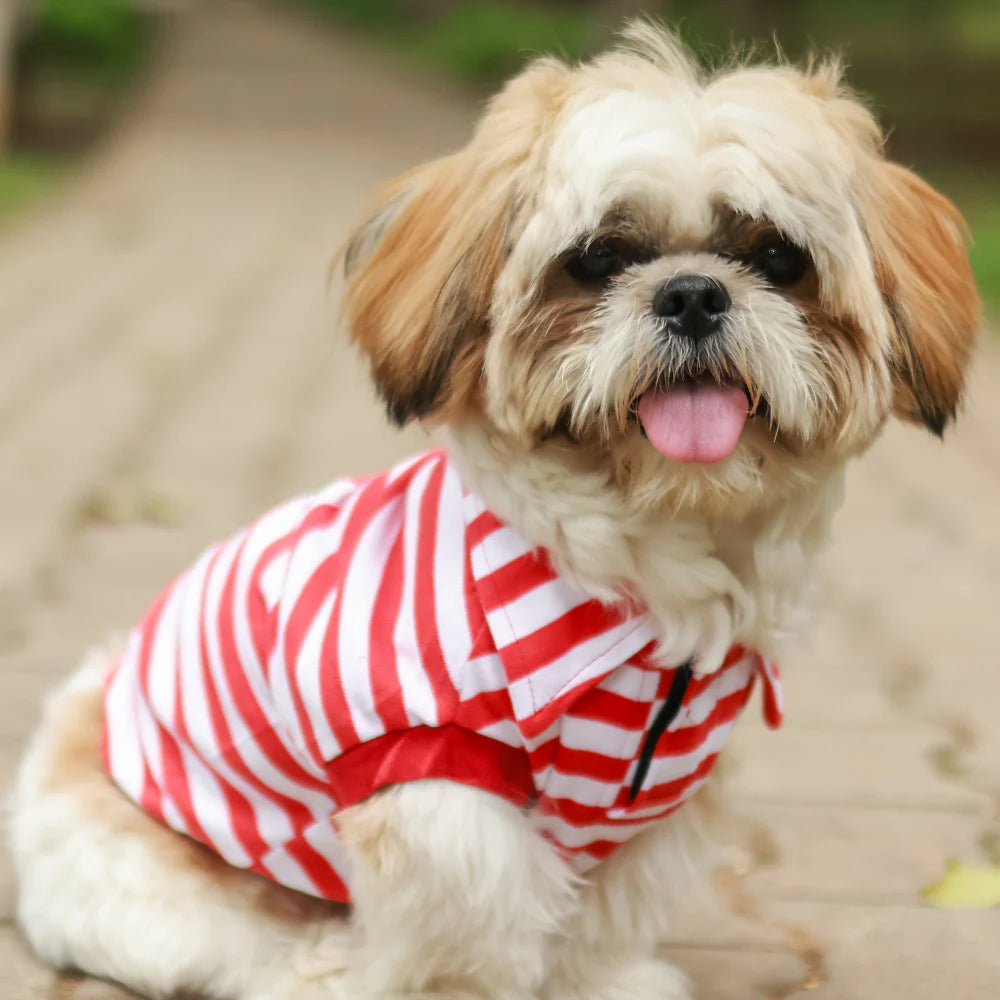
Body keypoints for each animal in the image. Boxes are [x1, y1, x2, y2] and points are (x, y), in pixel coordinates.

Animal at [5, 23, 976, 1000]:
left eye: (777, 257)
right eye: (597, 259)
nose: (694, 293)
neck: (637, 584)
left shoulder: (662, 800)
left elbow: (601, 922)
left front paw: (604, 985)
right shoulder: (436, 777)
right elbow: (471, 930)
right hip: (164, 897)